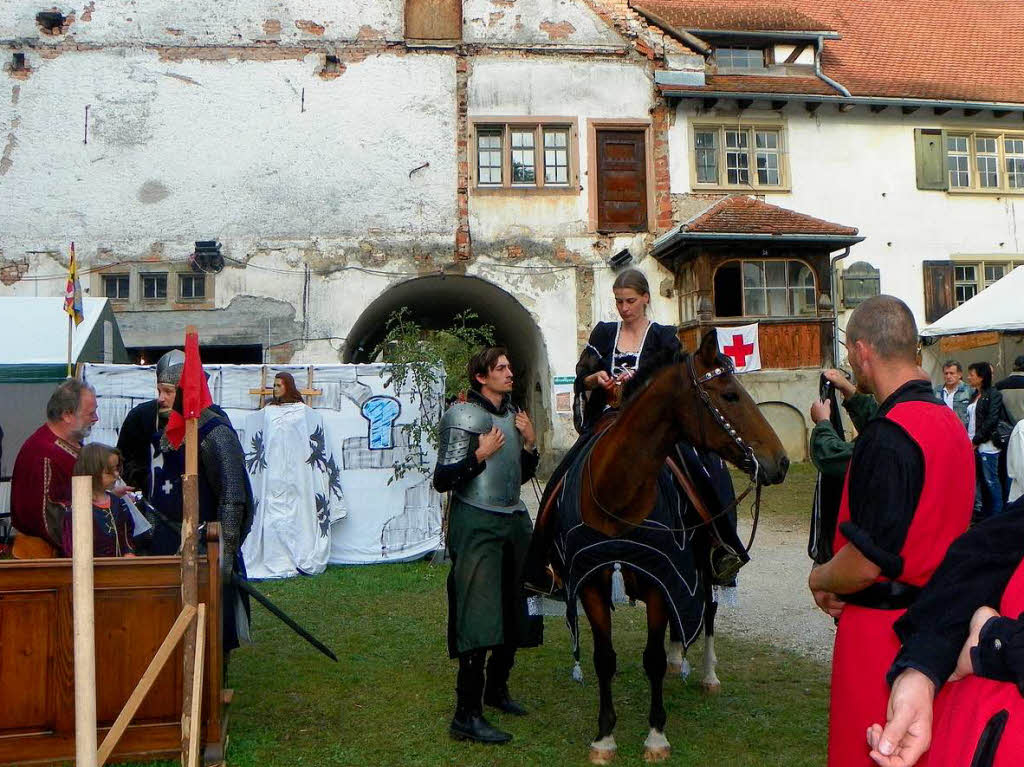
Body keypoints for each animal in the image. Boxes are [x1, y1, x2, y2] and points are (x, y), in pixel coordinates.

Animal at [532, 327, 786, 761]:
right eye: (729, 394)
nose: (780, 462)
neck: (617, 492)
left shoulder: (659, 576)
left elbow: (651, 657)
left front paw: (655, 736)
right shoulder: (594, 580)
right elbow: (604, 658)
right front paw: (604, 738)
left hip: (705, 560)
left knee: (709, 608)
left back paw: (708, 675)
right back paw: (676, 658)